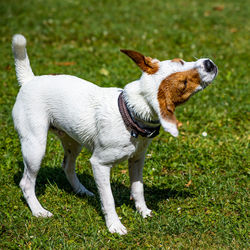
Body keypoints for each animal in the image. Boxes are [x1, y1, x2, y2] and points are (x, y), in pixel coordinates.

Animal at [12, 34, 217, 235]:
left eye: (180, 60)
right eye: (184, 84)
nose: (209, 64)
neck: (130, 117)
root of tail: (29, 80)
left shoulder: (137, 160)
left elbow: (138, 189)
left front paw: (143, 212)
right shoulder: (99, 164)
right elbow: (109, 199)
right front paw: (114, 225)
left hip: (73, 142)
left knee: (67, 166)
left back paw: (81, 191)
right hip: (35, 147)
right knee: (26, 183)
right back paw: (38, 210)